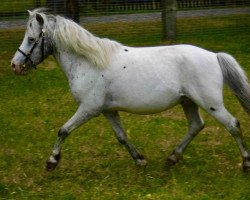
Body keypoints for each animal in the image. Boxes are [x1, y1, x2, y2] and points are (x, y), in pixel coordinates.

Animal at [10, 9, 250, 172]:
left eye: (31, 39)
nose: (15, 65)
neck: (89, 62)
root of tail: (214, 56)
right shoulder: (107, 110)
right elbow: (122, 137)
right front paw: (140, 160)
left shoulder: (89, 108)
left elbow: (64, 130)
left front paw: (51, 162)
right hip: (188, 101)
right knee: (196, 126)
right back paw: (172, 158)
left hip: (211, 103)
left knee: (233, 125)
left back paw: (246, 163)